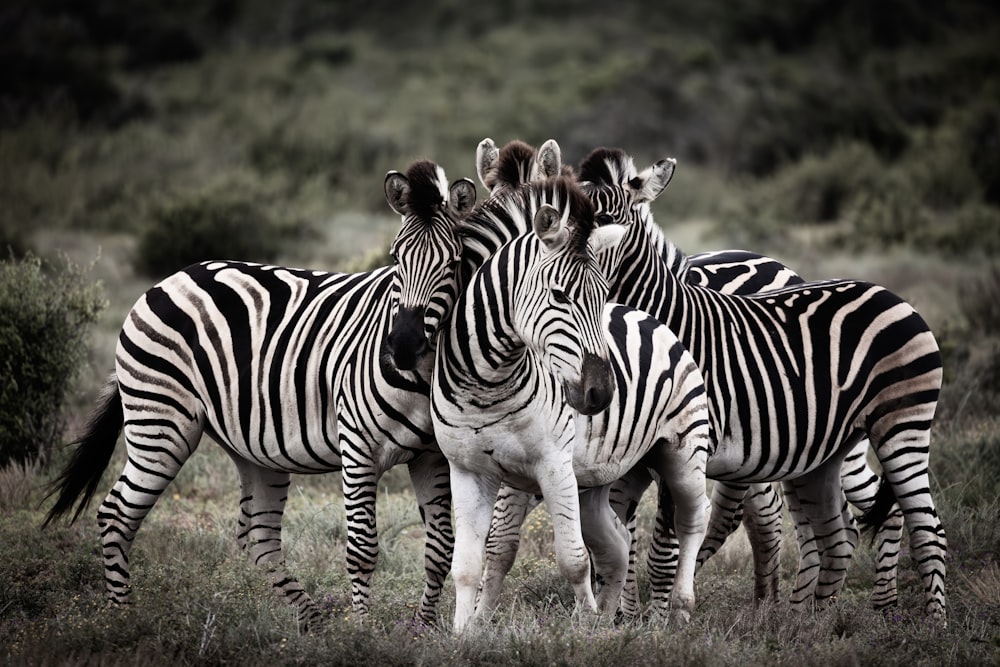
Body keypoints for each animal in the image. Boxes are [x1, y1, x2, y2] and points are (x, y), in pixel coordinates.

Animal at [47, 159, 480, 628]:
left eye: (453, 263)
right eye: (396, 258)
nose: (400, 346)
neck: (420, 377)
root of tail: (171, 278)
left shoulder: (430, 457)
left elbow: (440, 548)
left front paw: (422, 627)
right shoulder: (358, 451)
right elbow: (363, 548)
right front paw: (362, 631)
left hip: (252, 447)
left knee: (257, 537)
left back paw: (313, 621)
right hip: (159, 421)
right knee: (116, 514)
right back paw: (122, 615)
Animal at [428, 175, 712, 636]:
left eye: (602, 296)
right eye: (559, 295)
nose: (601, 393)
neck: (486, 387)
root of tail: (645, 314)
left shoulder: (553, 464)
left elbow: (574, 560)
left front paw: (582, 629)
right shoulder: (468, 470)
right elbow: (467, 565)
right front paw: (464, 633)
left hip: (683, 450)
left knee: (693, 519)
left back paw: (681, 609)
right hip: (594, 480)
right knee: (617, 543)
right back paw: (609, 622)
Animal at [580, 149, 944, 624]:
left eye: (605, 220)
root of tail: (890, 294)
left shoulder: (684, 448)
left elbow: (663, 545)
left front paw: (659, 623)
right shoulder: (629, 455)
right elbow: (611, 535)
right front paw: (615, 618)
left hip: (903, 426)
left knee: (924, 525)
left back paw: (929, 623)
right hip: (825, 450)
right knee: (838, 533)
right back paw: (805, 623)